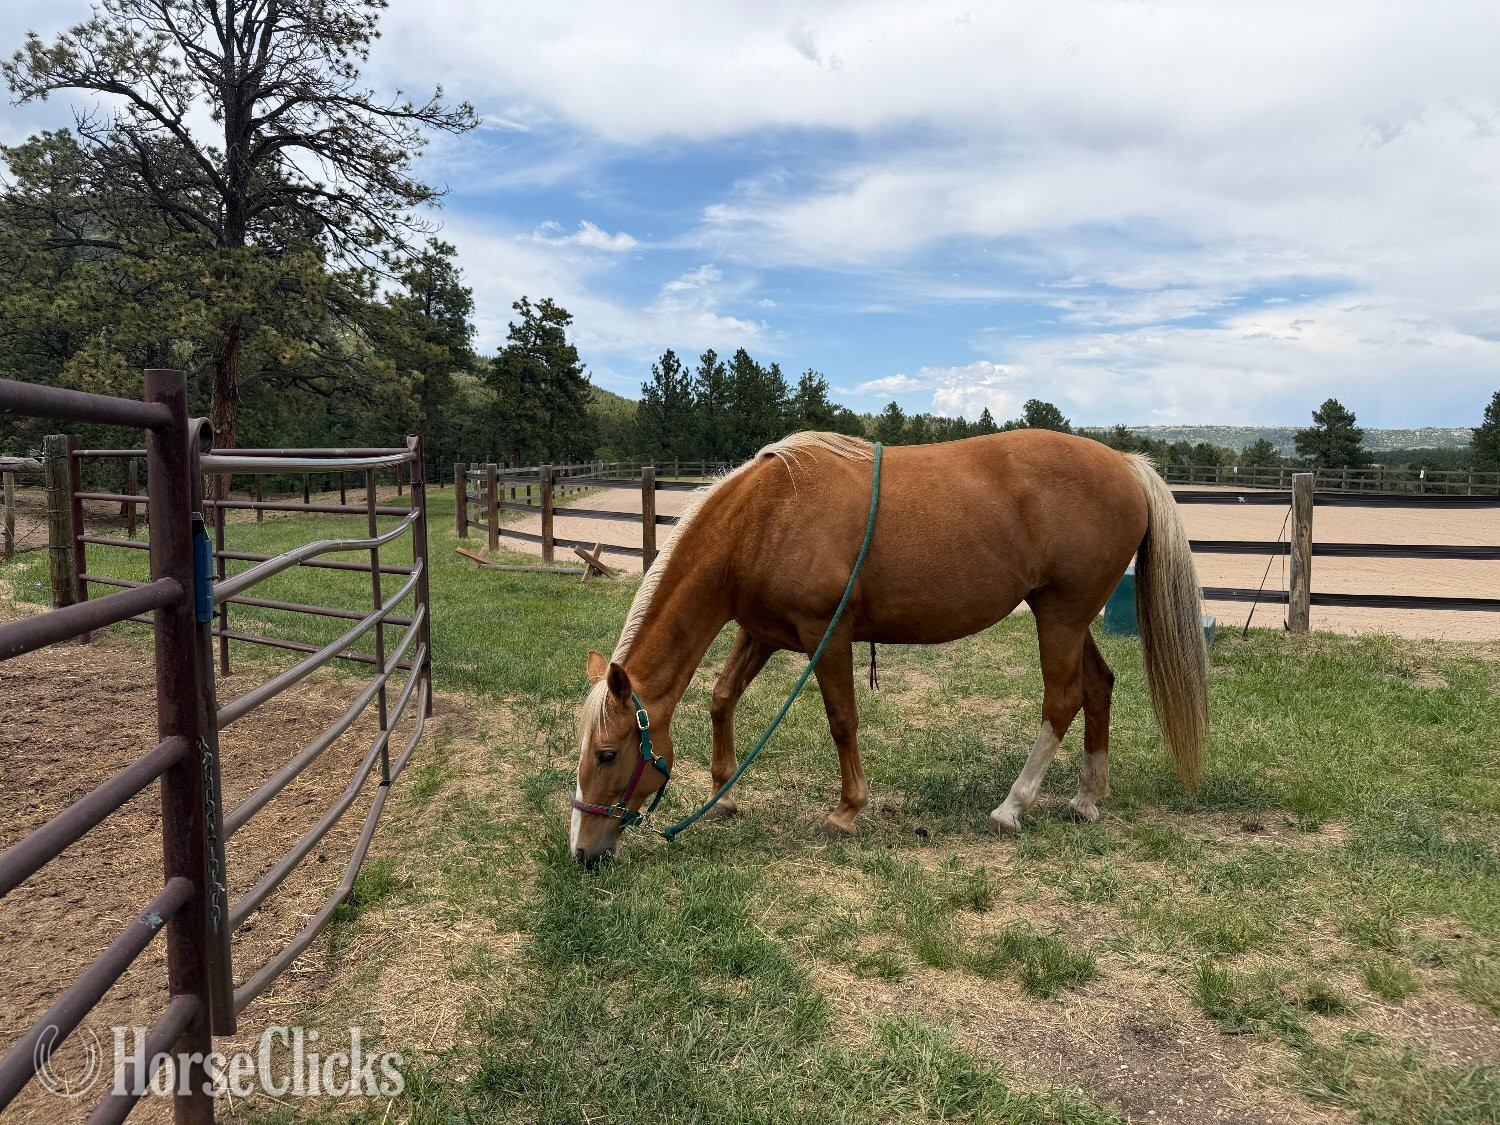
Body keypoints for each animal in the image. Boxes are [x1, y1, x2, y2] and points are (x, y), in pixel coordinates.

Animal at [570, 430, 1207, 867]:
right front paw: (723, 795)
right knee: (1098, 687)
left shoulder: (826, 636)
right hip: (1069, 618)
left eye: (607, 754)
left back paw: (1012, 807)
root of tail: (1125, 464)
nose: (582, 852)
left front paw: (847, 811)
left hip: (1061, 617)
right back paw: (1086, 798)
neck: (765, 518)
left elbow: (842, 720)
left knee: (1062, 701)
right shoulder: (763, 634)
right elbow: (722, 698)